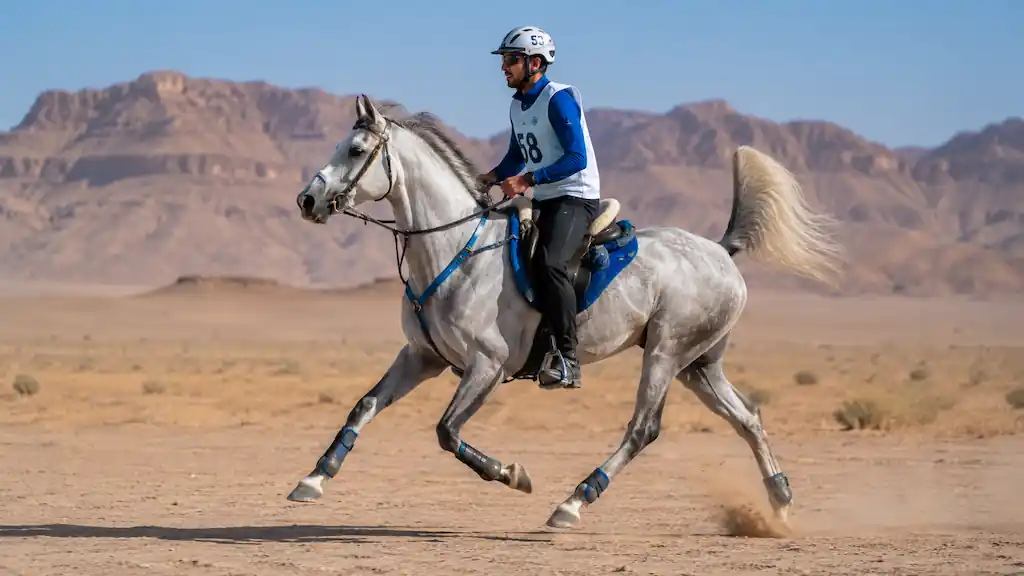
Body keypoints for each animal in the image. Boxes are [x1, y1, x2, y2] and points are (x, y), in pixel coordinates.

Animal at [289, 94, 843, 530]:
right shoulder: (421, 356)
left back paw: (574, 501)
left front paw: (513, 475)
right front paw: (313, 478)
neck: (457, 248)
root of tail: (722, 252)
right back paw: (780, 500)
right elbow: (363, 406)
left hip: (666, 352)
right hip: (698, 365)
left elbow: (447, 432)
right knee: (747, 417)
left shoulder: (487, 365)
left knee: (643, 429)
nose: (307, 200)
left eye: (356, 150)